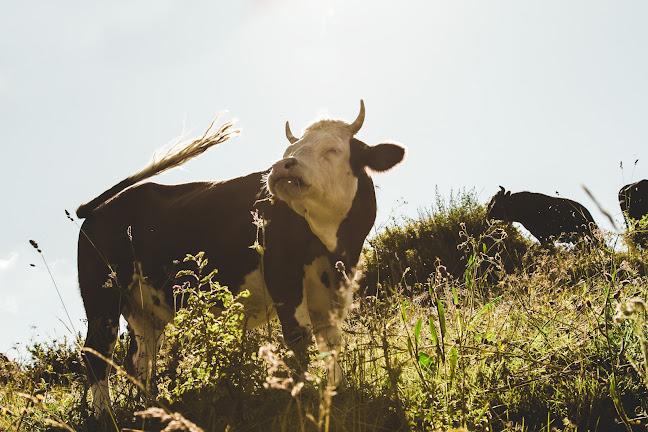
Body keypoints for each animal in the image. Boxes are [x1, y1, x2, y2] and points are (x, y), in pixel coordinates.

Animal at [76, 101, 404, 412]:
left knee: (141, 360)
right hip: (103, 295)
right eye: (289, 150)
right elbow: (298, 337)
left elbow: (331, 341)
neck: (331, 244)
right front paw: (305, 394)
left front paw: (337, 392)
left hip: (143, 308)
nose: (282, 166)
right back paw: (105, 414)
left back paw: (152, 406)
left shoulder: (336, 284)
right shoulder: (282, 274)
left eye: (333, 149)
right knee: (97, 353)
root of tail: (101, 207)